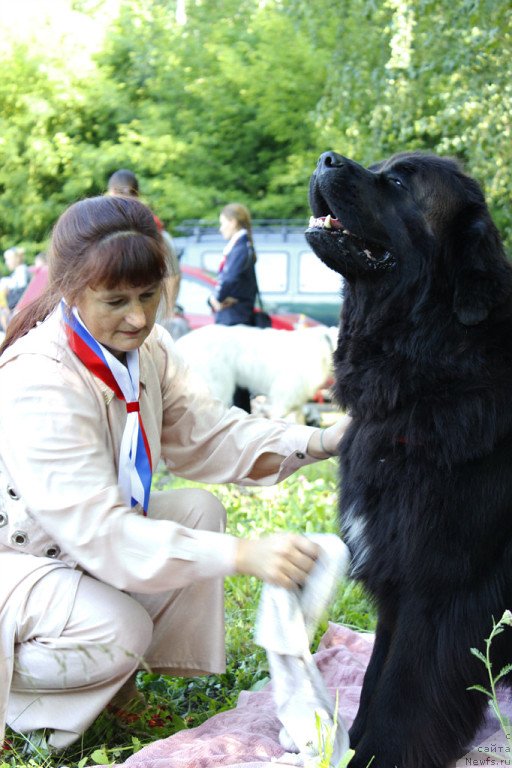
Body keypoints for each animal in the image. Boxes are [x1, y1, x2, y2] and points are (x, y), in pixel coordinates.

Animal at [306, 150, 512, 768]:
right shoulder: (396, 573)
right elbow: (376, 676)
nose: (326, 158)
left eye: (397, 181)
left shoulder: (442, 586)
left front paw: (380, 755)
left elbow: (407, 690)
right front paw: (353, 744)